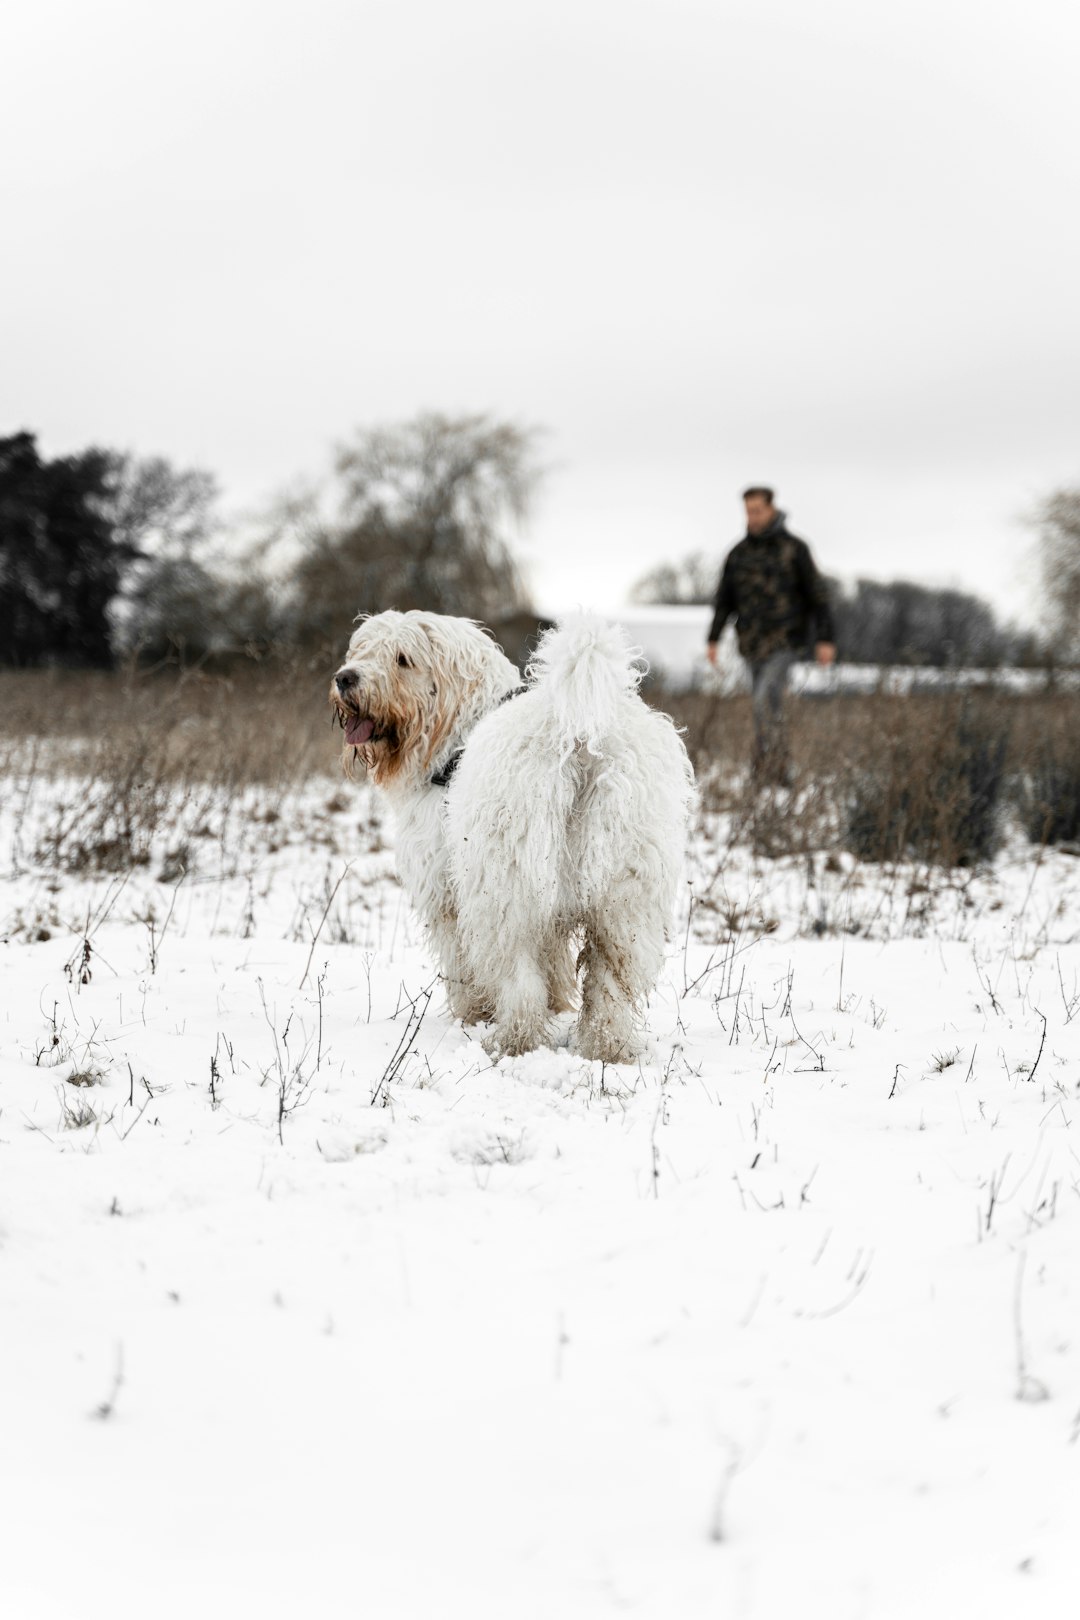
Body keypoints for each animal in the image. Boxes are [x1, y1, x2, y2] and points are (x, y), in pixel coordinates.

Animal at [330, 609, 696, 1062]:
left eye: (402, 659)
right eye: (361, 649)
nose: (345, 678)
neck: (457, 732)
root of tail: (578, 734)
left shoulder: (446, 891)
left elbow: (461, 963)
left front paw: (472, 1014)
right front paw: (557, 1007)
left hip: (506, 888)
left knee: (518, 975)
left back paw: (513, 1040)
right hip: (625, 892)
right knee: (611, 977)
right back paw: (606, 1047)